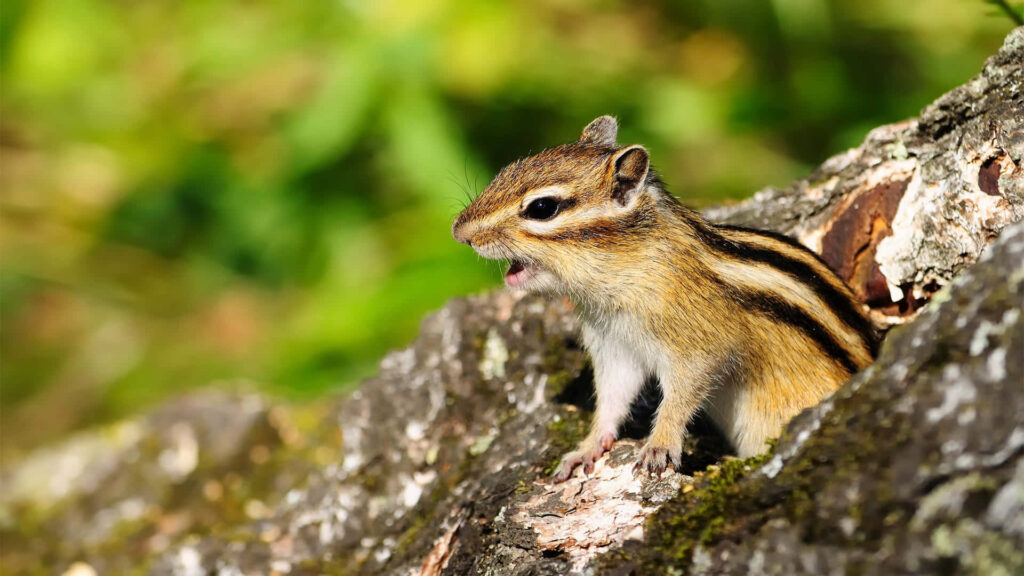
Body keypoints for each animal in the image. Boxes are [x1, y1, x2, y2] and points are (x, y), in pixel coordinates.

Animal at [452, 116, 878, 481]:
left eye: (542, 208)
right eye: (507, 170)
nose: (459, 232)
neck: (623, 272)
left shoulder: (699, 341)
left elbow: (682, 393)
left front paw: (660, 444)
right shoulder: (615, 347)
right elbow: (612, 398)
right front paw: (587, 447)